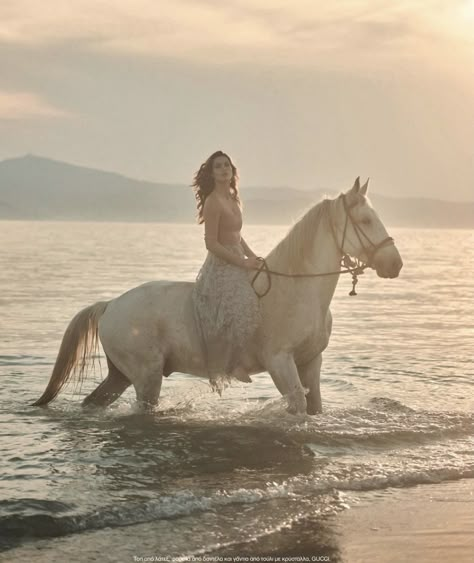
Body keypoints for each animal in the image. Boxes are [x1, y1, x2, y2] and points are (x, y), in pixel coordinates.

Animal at [32, 178, 404, 416]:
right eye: (365, 220)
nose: (395, 264)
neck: (298, 289)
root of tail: (109, 306)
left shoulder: (311, 362)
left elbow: (315, 409)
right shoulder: (280, 363)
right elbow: (297, 408)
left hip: (120, 375)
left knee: (93, 403)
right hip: (145, 377)